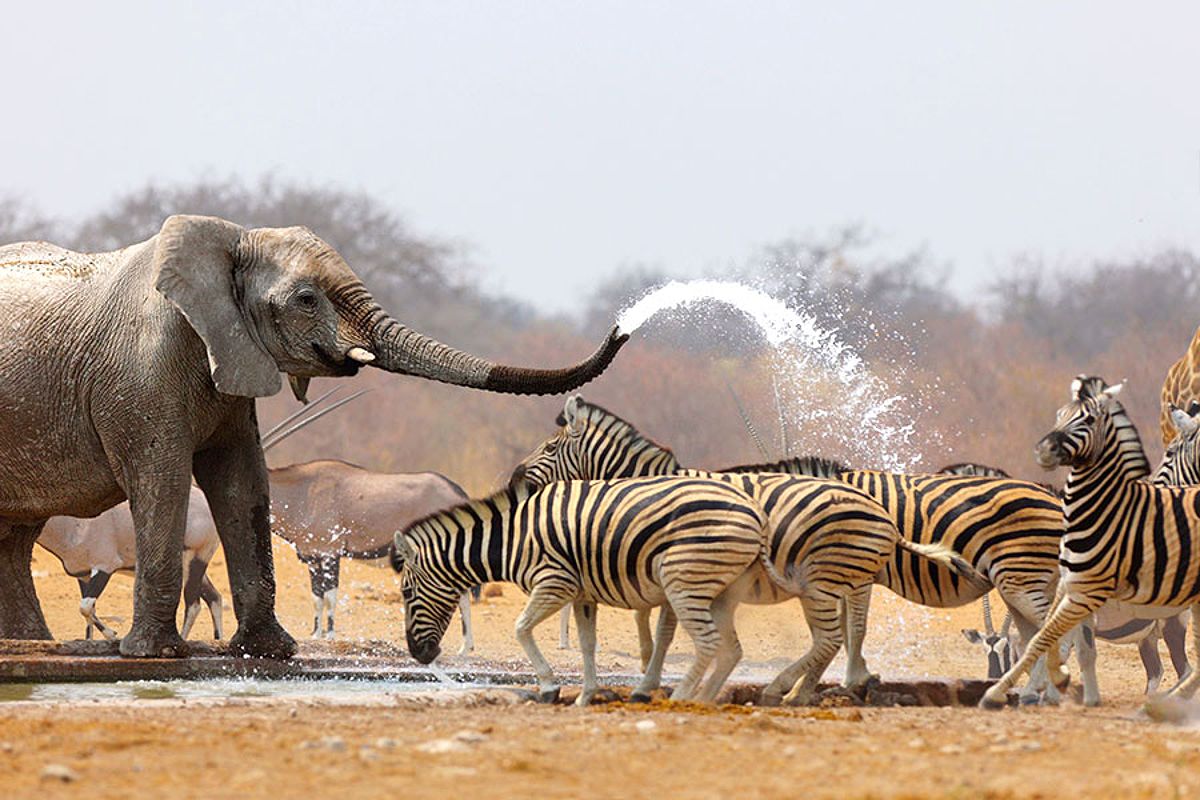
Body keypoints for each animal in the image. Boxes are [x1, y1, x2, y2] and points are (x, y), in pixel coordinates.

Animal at [0, 214, 633, 657]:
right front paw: (154, 656)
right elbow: (166, 481)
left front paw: (270, 652)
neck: (231, 241)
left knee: (19, 534)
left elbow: (241, 483)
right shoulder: (140, 376)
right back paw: (37, 645)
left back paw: (33, 644)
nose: (624, 326)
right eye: (307, 299)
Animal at [393, 479, 768, 705]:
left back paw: (681, 697)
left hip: (683, 581)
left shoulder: (554, 582)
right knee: (727, 648)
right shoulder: (582, 594)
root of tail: (754, 510)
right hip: (716, 589)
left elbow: (521, 628)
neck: (513, 538)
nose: (420, 655)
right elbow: (587, 644)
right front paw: (585, 696)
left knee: (708, 642)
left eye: (407, 593)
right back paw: (700, 697)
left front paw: (549, 687)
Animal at [516, 398, 1080, 705]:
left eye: (550, 448)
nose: (516, 479)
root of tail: (1051, 495)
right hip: (1019, 580)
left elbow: (667, 628)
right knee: (1041, 630)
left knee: (1050, 629)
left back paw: (1045, 688)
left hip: (1018, 576)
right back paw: (1036, 690)